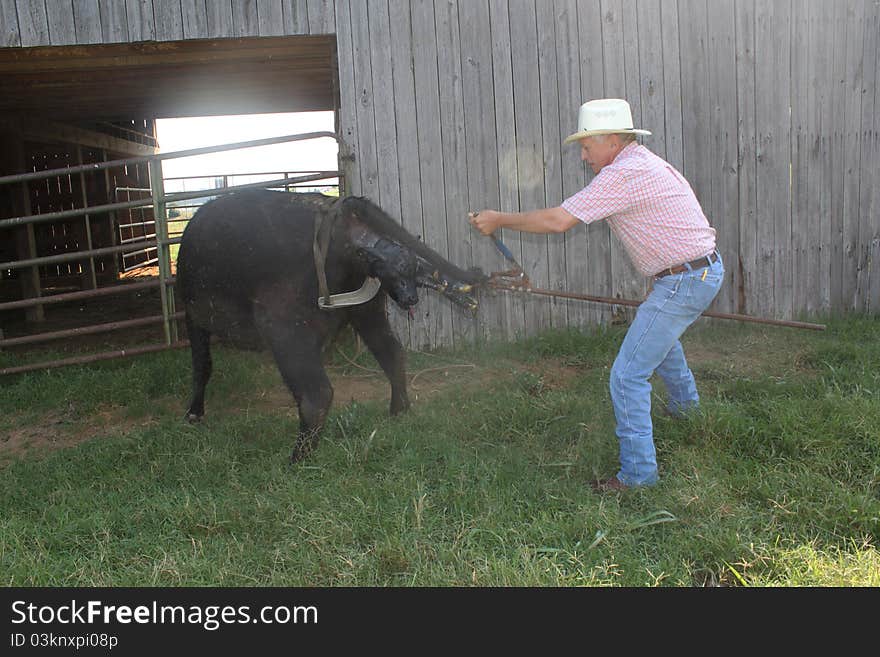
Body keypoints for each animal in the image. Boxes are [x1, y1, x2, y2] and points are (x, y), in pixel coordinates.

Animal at [175, 188, 484, 462]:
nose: (410, 296)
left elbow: (203, 366)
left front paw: (194, 412)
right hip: (364, 313)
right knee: (391, 353)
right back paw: (399, 409)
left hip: (299, 327)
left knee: (322, 390)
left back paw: (298, 457)